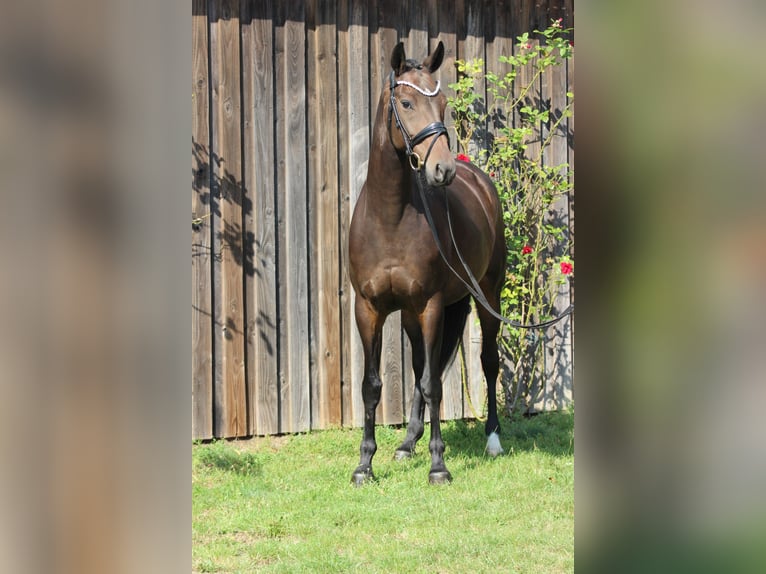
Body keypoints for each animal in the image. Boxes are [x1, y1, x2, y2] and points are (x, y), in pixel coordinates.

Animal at [350, 41, 508, 486]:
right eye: (406, 103)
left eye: (442, 105)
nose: (443, 169)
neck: (390, 219)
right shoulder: (368, 309)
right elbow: (374, 385)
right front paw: (365, 465)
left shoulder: (432, 306)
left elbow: (433, 385)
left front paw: (438, 466)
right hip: (411, 314)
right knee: (424, 367)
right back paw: (408, 442)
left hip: (486, 297)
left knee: (487, 364)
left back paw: (493, 439)